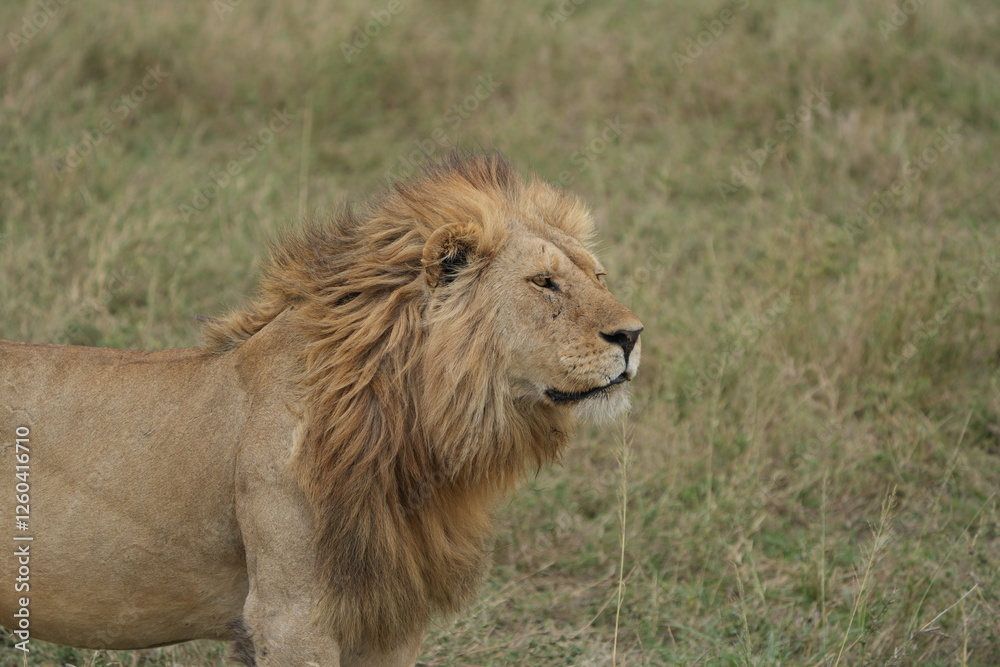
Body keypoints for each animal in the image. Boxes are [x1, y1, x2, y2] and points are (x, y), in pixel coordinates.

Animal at [0, 153, 642, 666]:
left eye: (598, 275)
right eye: (544, 282)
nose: (633, 335)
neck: (412, 429)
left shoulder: (391, 618)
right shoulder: (290, 617)